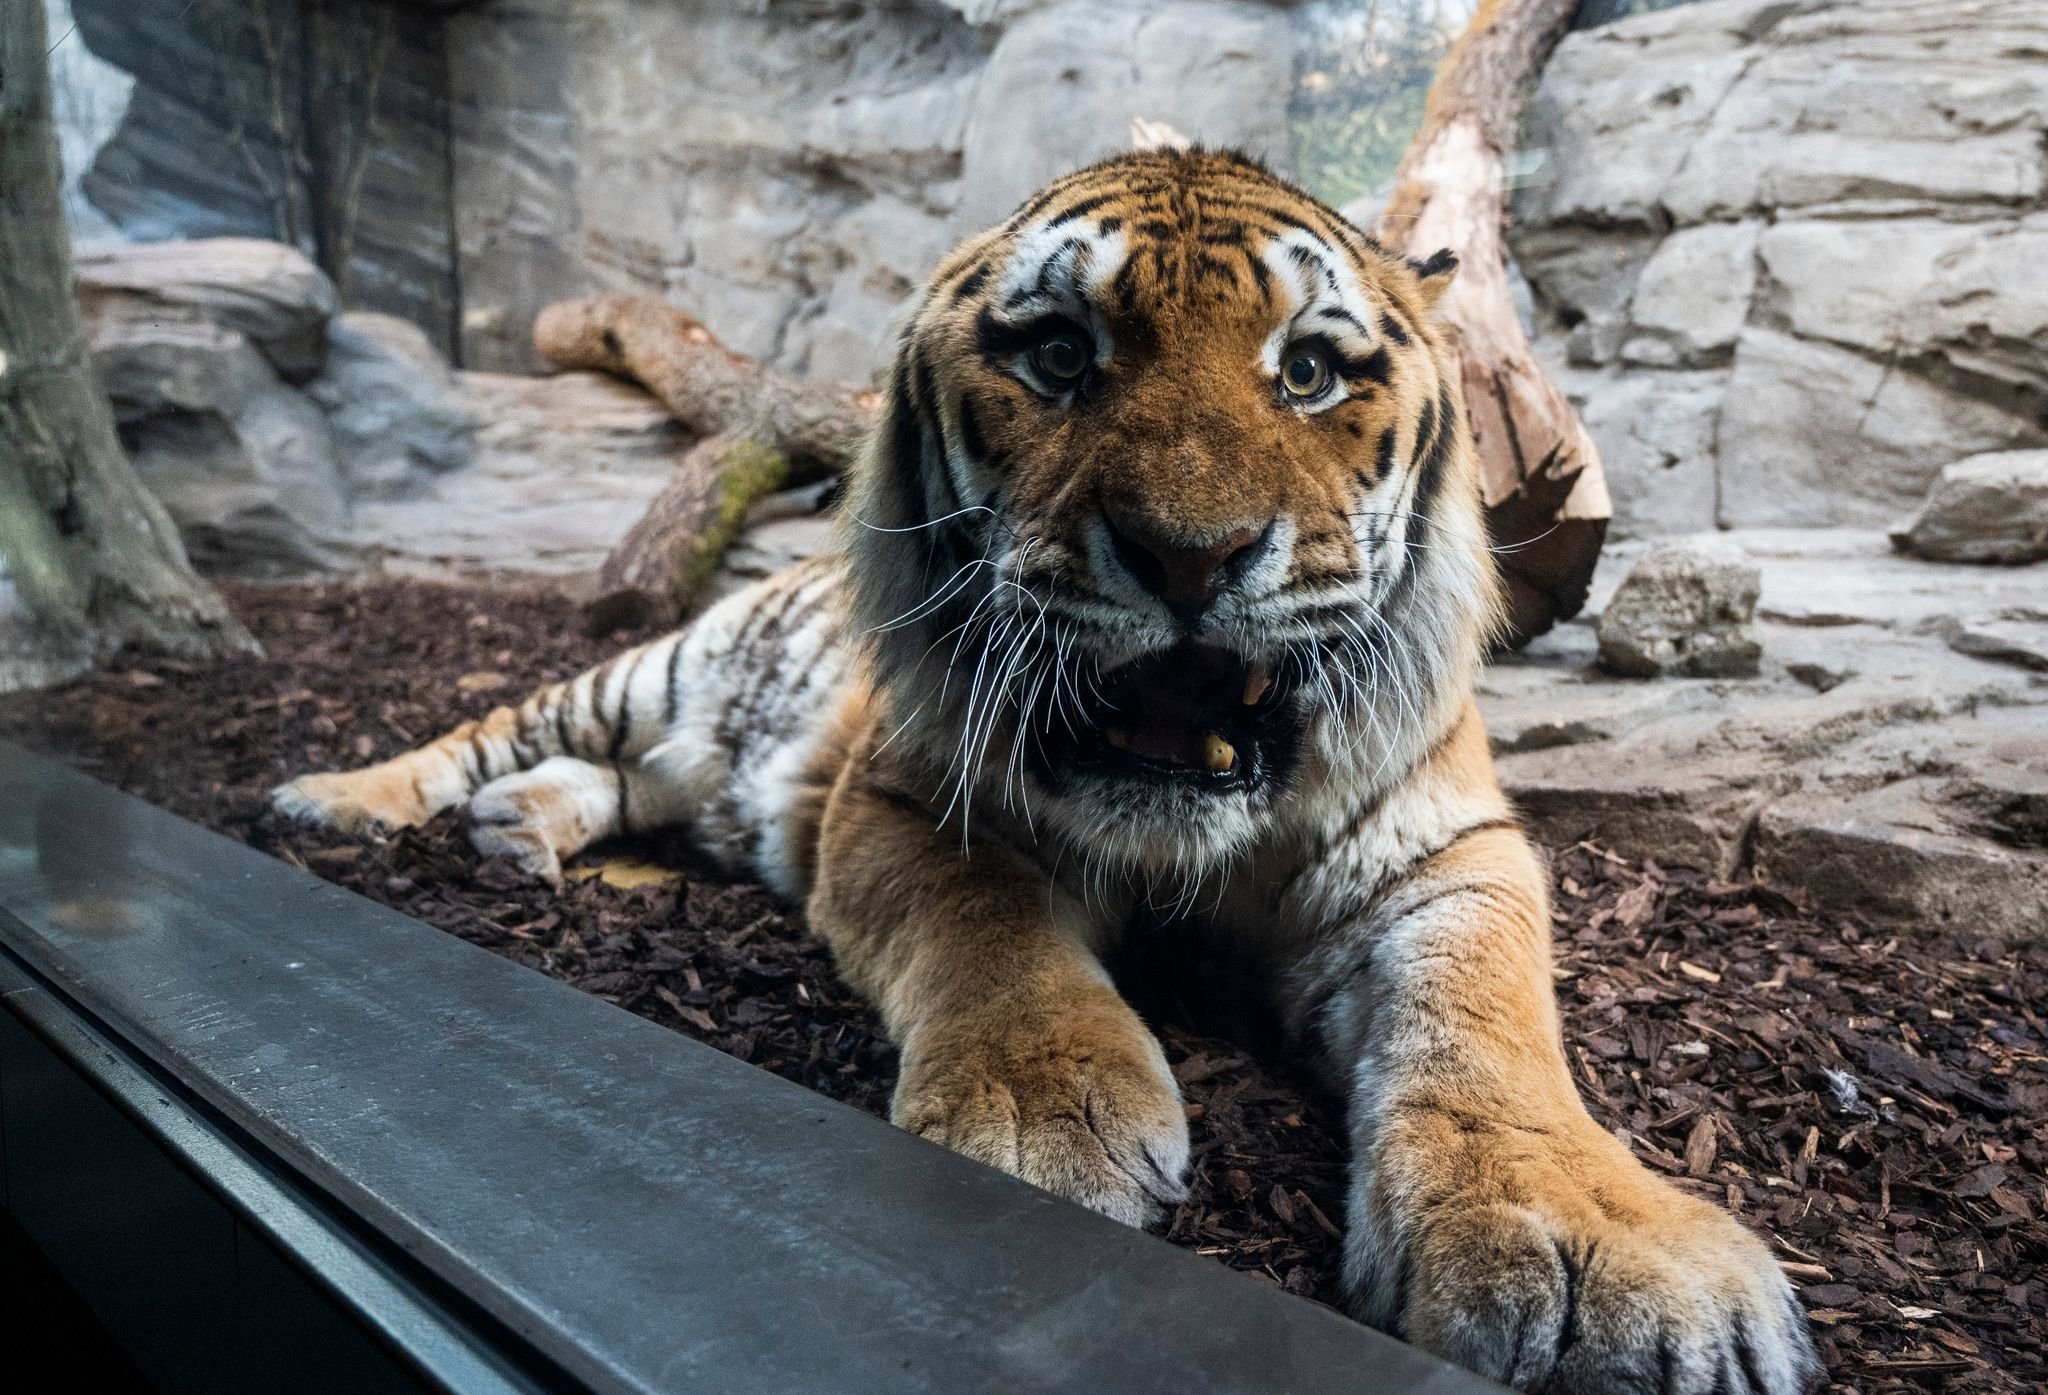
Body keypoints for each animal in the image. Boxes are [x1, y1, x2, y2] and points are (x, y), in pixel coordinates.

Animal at [276, 146, 1826, 1384]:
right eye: (1061, 356)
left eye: (1307, 370)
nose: (1191, 557)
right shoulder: (901, 798)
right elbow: (994, 931)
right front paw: (1042, 1119)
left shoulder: (1449, 854)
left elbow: (1486, 1029)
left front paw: (1595, 1250)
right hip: (640, 676)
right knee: (494, 732)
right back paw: (340, 802)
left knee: (608, 781)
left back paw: (514, 835)